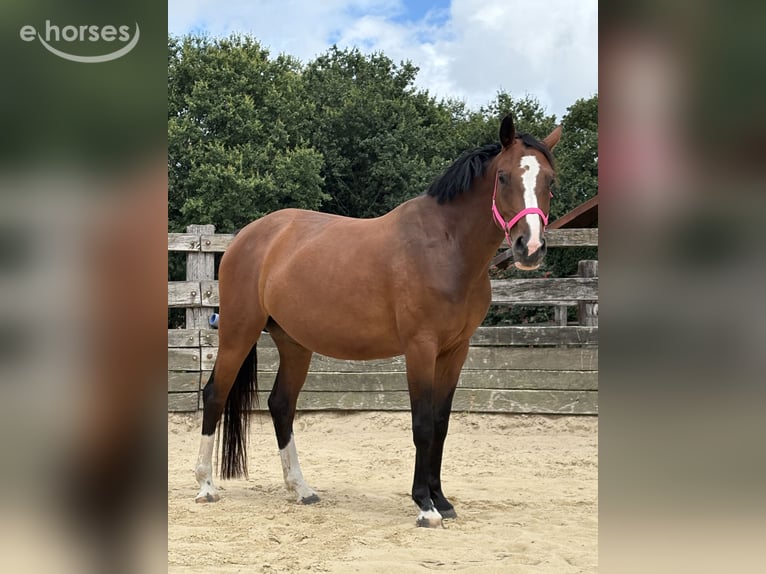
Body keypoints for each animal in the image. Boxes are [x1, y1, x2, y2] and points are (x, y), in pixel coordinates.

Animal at [194, 113, 561, 527]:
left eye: (550, 180)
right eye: (503, 177)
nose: (530, 248)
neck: (445, 246)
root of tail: (247, 237)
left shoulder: (455, 351)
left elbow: (440, 424)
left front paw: (442, 500)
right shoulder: (420, 347)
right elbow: (422, 424)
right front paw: (425, 505)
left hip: (294, 343)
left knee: (281, 405)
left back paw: (301, 489)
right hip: (238, 332)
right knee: (215, 394)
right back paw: (206, 486)